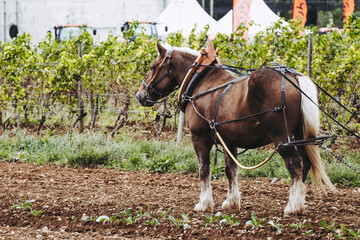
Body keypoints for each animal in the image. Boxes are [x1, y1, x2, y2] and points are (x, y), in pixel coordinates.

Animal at [136, 42, 338, 216]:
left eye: (153, 67)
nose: (140, 95)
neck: (200, 81)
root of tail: (291, 75)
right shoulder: (229, 141)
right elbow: (230, 170)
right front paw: (231, 201)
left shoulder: (199, 138)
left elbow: (204, 170)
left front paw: (204, 203)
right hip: (299, 135)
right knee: (305, 163)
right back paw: (298, 202)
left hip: (281, 138)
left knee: (295, 164)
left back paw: (292, 206)